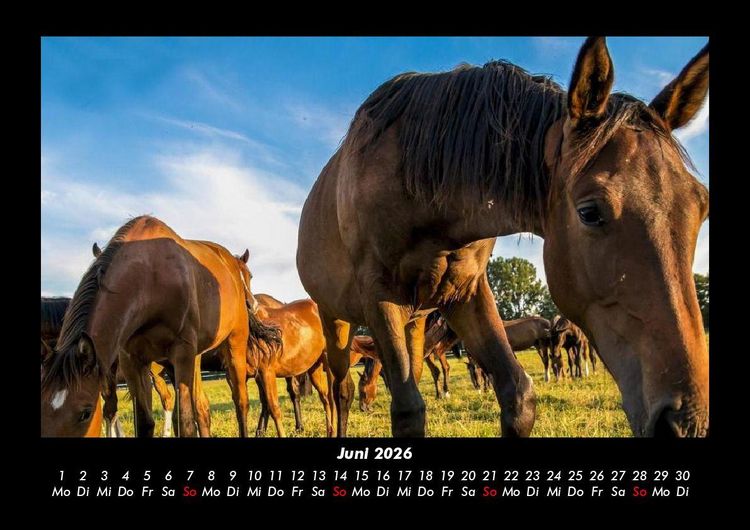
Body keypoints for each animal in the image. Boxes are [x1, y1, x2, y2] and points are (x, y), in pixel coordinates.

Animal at [41, 216, 269, 437]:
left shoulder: (182, 353)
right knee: (202, 408)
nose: (252, 304)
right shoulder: (132, 362)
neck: (151, 279)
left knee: (240, 402)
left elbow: (185, 423)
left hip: (234, 346)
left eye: (85, 413)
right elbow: (144, 422)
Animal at [297, 37, 709, 437]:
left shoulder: (466, 293)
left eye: (701, 205)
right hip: (337, 320)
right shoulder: (379, 297)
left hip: (414, 321)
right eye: (589, 212)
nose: (685, 421)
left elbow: (519, 396)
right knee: (340, 389)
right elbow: (408, 413)